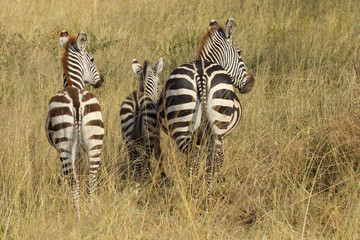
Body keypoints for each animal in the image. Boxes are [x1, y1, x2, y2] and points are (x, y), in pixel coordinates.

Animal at [45, 29, 104, 218]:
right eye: (92, 59)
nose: (101, 80)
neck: (73, 85)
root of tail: (76, 99)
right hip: (94, 140)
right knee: (91, 177)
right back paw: (90, 211)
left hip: (65, 143)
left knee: (73, 179)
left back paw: (76, 214)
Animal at [156, 17, 255, 205]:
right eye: (239, 52)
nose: (250, 83)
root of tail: (201, 74)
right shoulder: (222, 135)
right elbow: (219, 159)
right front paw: (218, 183)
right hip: (214, 125)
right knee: (210, 159)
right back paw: (200, 197)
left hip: (186, 124)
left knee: (197, 158)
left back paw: (198, 196)